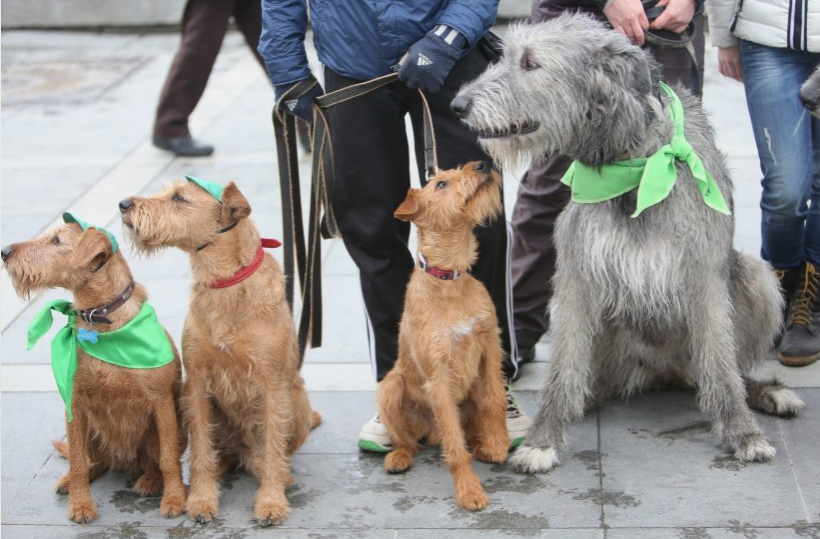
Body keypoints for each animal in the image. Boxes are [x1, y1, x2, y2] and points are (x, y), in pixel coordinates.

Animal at [1, 217, 186, 524]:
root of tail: (122, 462)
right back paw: (71, 480)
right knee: (92, 461)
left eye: (56, 241)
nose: (4, 252)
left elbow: (169, 458)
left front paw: (174, 498)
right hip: (87, 429)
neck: (101, 320)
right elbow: (76, 461)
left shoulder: (161, 402)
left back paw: (150, 480)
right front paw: (80, 504)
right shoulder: (74, 404)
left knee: (154, 461)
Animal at [121, 178, 320, 528]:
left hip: (297, 402)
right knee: (221, 452)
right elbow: (201, 448)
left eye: (179, 198)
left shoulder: (272, 386)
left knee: (272, 452)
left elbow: (273, 447)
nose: (123, 204)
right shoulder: (197, 384)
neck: (225, 282)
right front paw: (201, 499)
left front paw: (271, 502)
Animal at [376, 159, 506, 510]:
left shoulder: (490, 343)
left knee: (470, 427)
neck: (450, 279)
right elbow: (455, 446)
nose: (483, 163)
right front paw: (469, 491)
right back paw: (399, 457)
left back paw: (484, 445)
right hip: (391, 388)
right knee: (410, 441)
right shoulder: (439, 376)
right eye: (441, 184)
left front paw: (497, 443)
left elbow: (496, 398)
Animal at [452, 13, 804, 476]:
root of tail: (663, 373)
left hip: (755, 276)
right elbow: (563, 368)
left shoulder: (703, 273)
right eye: (504, 56)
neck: (634, 163)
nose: (457, 105)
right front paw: (544, 440)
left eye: (530, 63)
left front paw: (742, 433)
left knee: (724, 359)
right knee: (585, 375)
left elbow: (720, 360)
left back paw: (765, 392)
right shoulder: (576, 274)